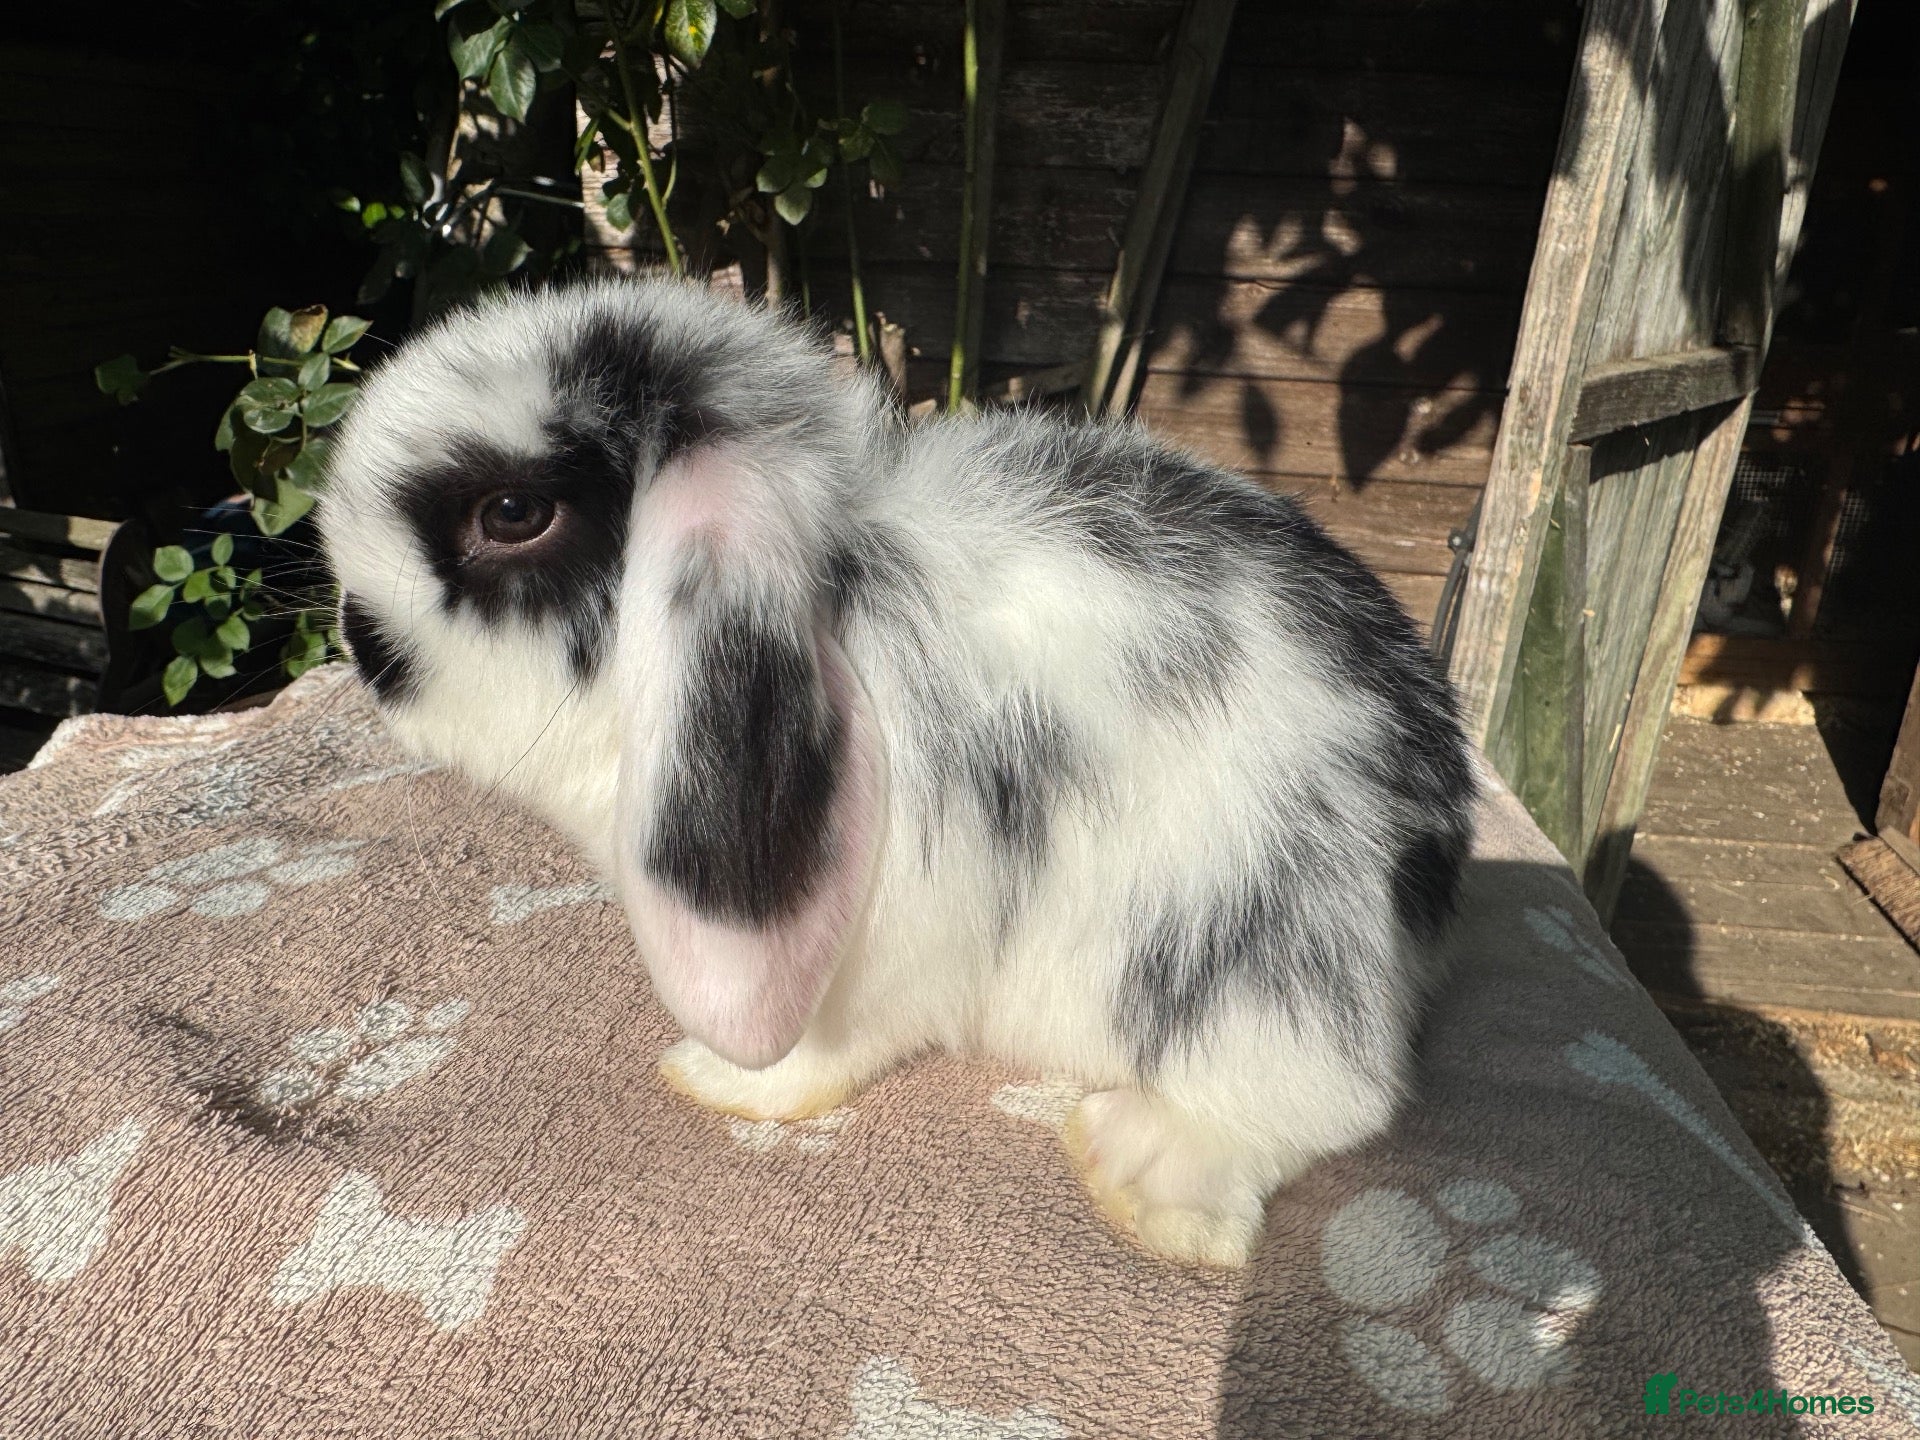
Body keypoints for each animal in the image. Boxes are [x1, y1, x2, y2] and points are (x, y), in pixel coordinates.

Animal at [318, 278, 1476, 1268]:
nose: (362, 643)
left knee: (1323, 1100)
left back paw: (1143, 1174)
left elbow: (818, 1053)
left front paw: (713, 1079)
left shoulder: (869, 957)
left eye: (512, 515)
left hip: (1254, 960)